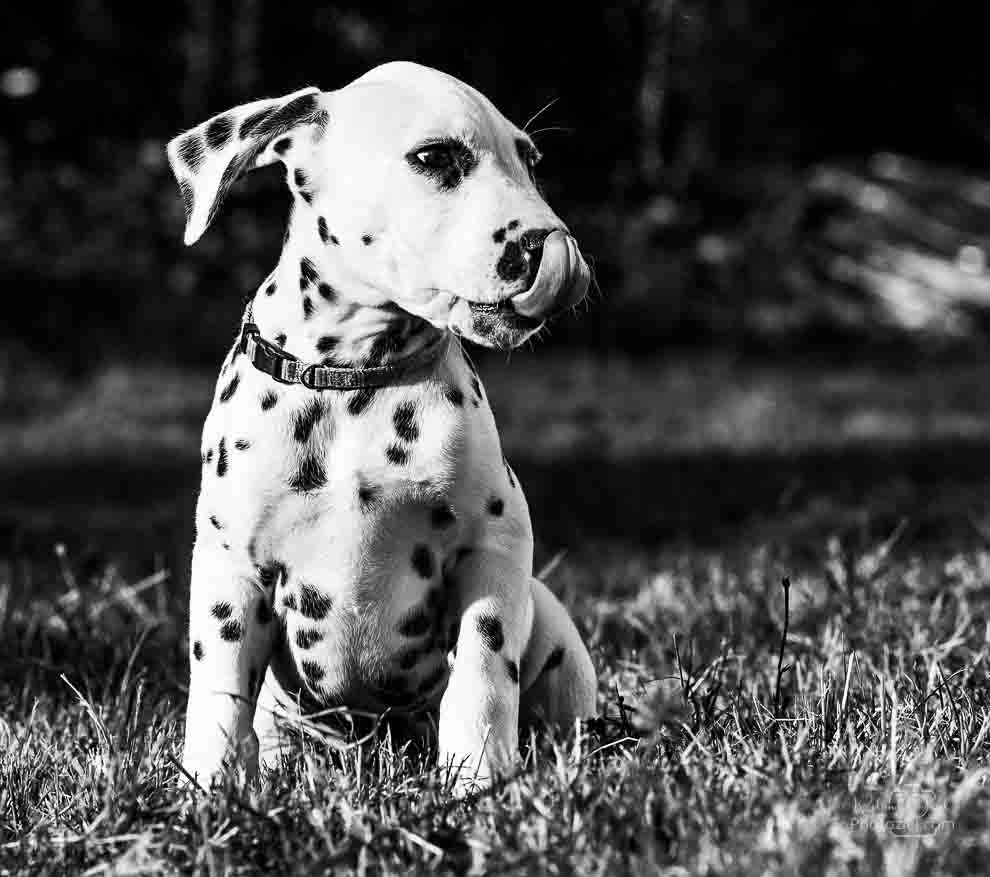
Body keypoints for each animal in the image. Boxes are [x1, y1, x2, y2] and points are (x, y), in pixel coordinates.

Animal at [169, 60, 596, 788]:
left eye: (531, 161)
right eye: (436, 157)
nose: (550, 245)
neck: (356, 379)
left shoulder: (495, 546)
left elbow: (483, 671)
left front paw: (478, 777)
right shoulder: (230, 571)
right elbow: (219, 694)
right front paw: (210, 787)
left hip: (555, 625)